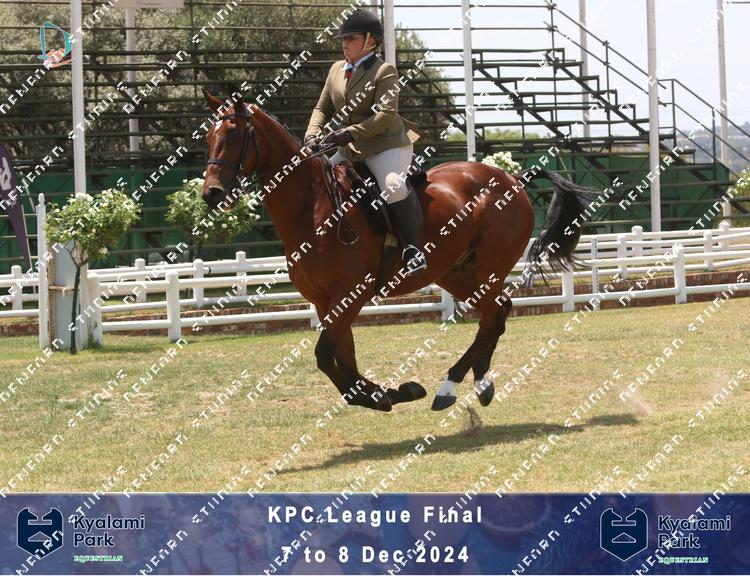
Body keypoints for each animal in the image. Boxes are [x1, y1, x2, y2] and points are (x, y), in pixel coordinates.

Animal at [199, 89, 600, 413]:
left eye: (234, 133)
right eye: (208, 135)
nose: (211, 194)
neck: (312, 208)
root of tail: (512, 179)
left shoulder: (351, 294)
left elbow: (325, 356)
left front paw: (389, 394)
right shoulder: (326, 302)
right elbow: (343, 357)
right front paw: (389, 393)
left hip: (488, 268)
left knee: (491, 317)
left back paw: (448, 388)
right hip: (455, 273)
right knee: (498, 312)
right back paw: (479, 383)